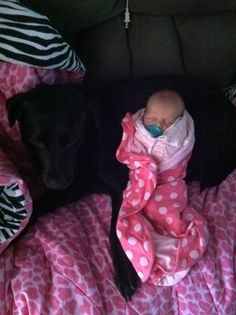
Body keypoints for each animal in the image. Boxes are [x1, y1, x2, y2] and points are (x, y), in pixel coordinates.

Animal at [5, 74, 236, 302]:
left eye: (72, 139)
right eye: (35, 141)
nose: (56, 183)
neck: (89, 139)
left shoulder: (121, 186)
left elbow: (116, 229)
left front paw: (124, 271)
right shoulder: (73, 185)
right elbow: (35, 208)